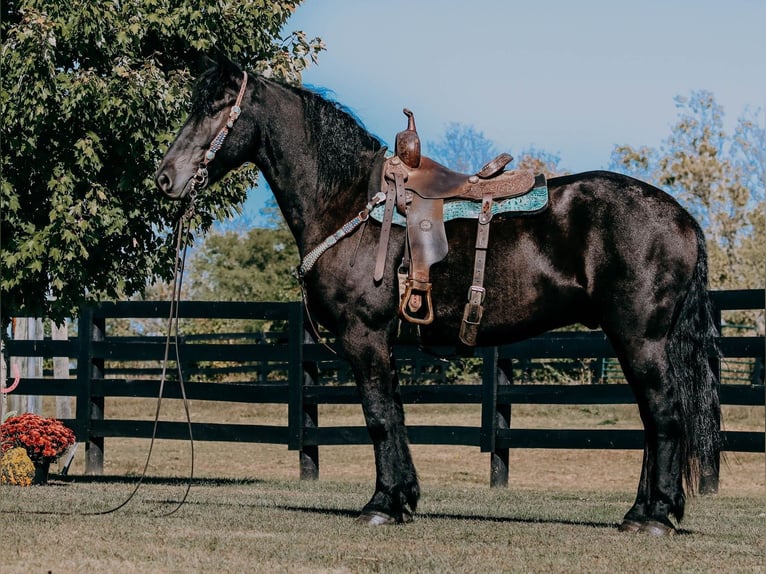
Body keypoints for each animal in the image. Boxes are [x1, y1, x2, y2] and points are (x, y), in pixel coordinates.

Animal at [156, 56, 720, 536]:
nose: (166, 178)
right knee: (652, 420)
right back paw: (641, 511)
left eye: (214, 106)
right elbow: (396, 416)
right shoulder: (383, 345)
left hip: (640, 340)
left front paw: (382, 504)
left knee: (664, 415)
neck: (352, 204)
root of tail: (682, 217)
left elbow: (379, 418)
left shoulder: (365, 339)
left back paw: (655, 516)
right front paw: (403, 497)